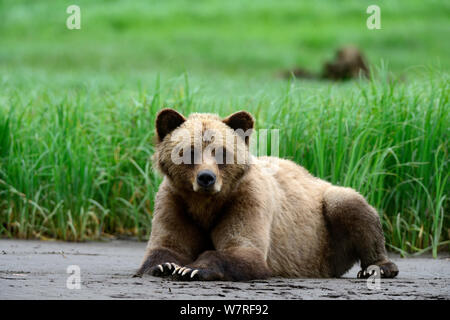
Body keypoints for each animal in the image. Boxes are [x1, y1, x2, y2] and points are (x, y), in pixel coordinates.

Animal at [135, 108, 400, 280]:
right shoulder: (175, 201)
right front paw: (167, 266)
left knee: (351, 206)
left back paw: (379, 267)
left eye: (221, 152)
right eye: (189, 152)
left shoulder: (246, 199)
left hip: (325, 231)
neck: (205, 204)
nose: (206, 178)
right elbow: (167, 245)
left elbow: (243, 251)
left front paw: (192, 268)